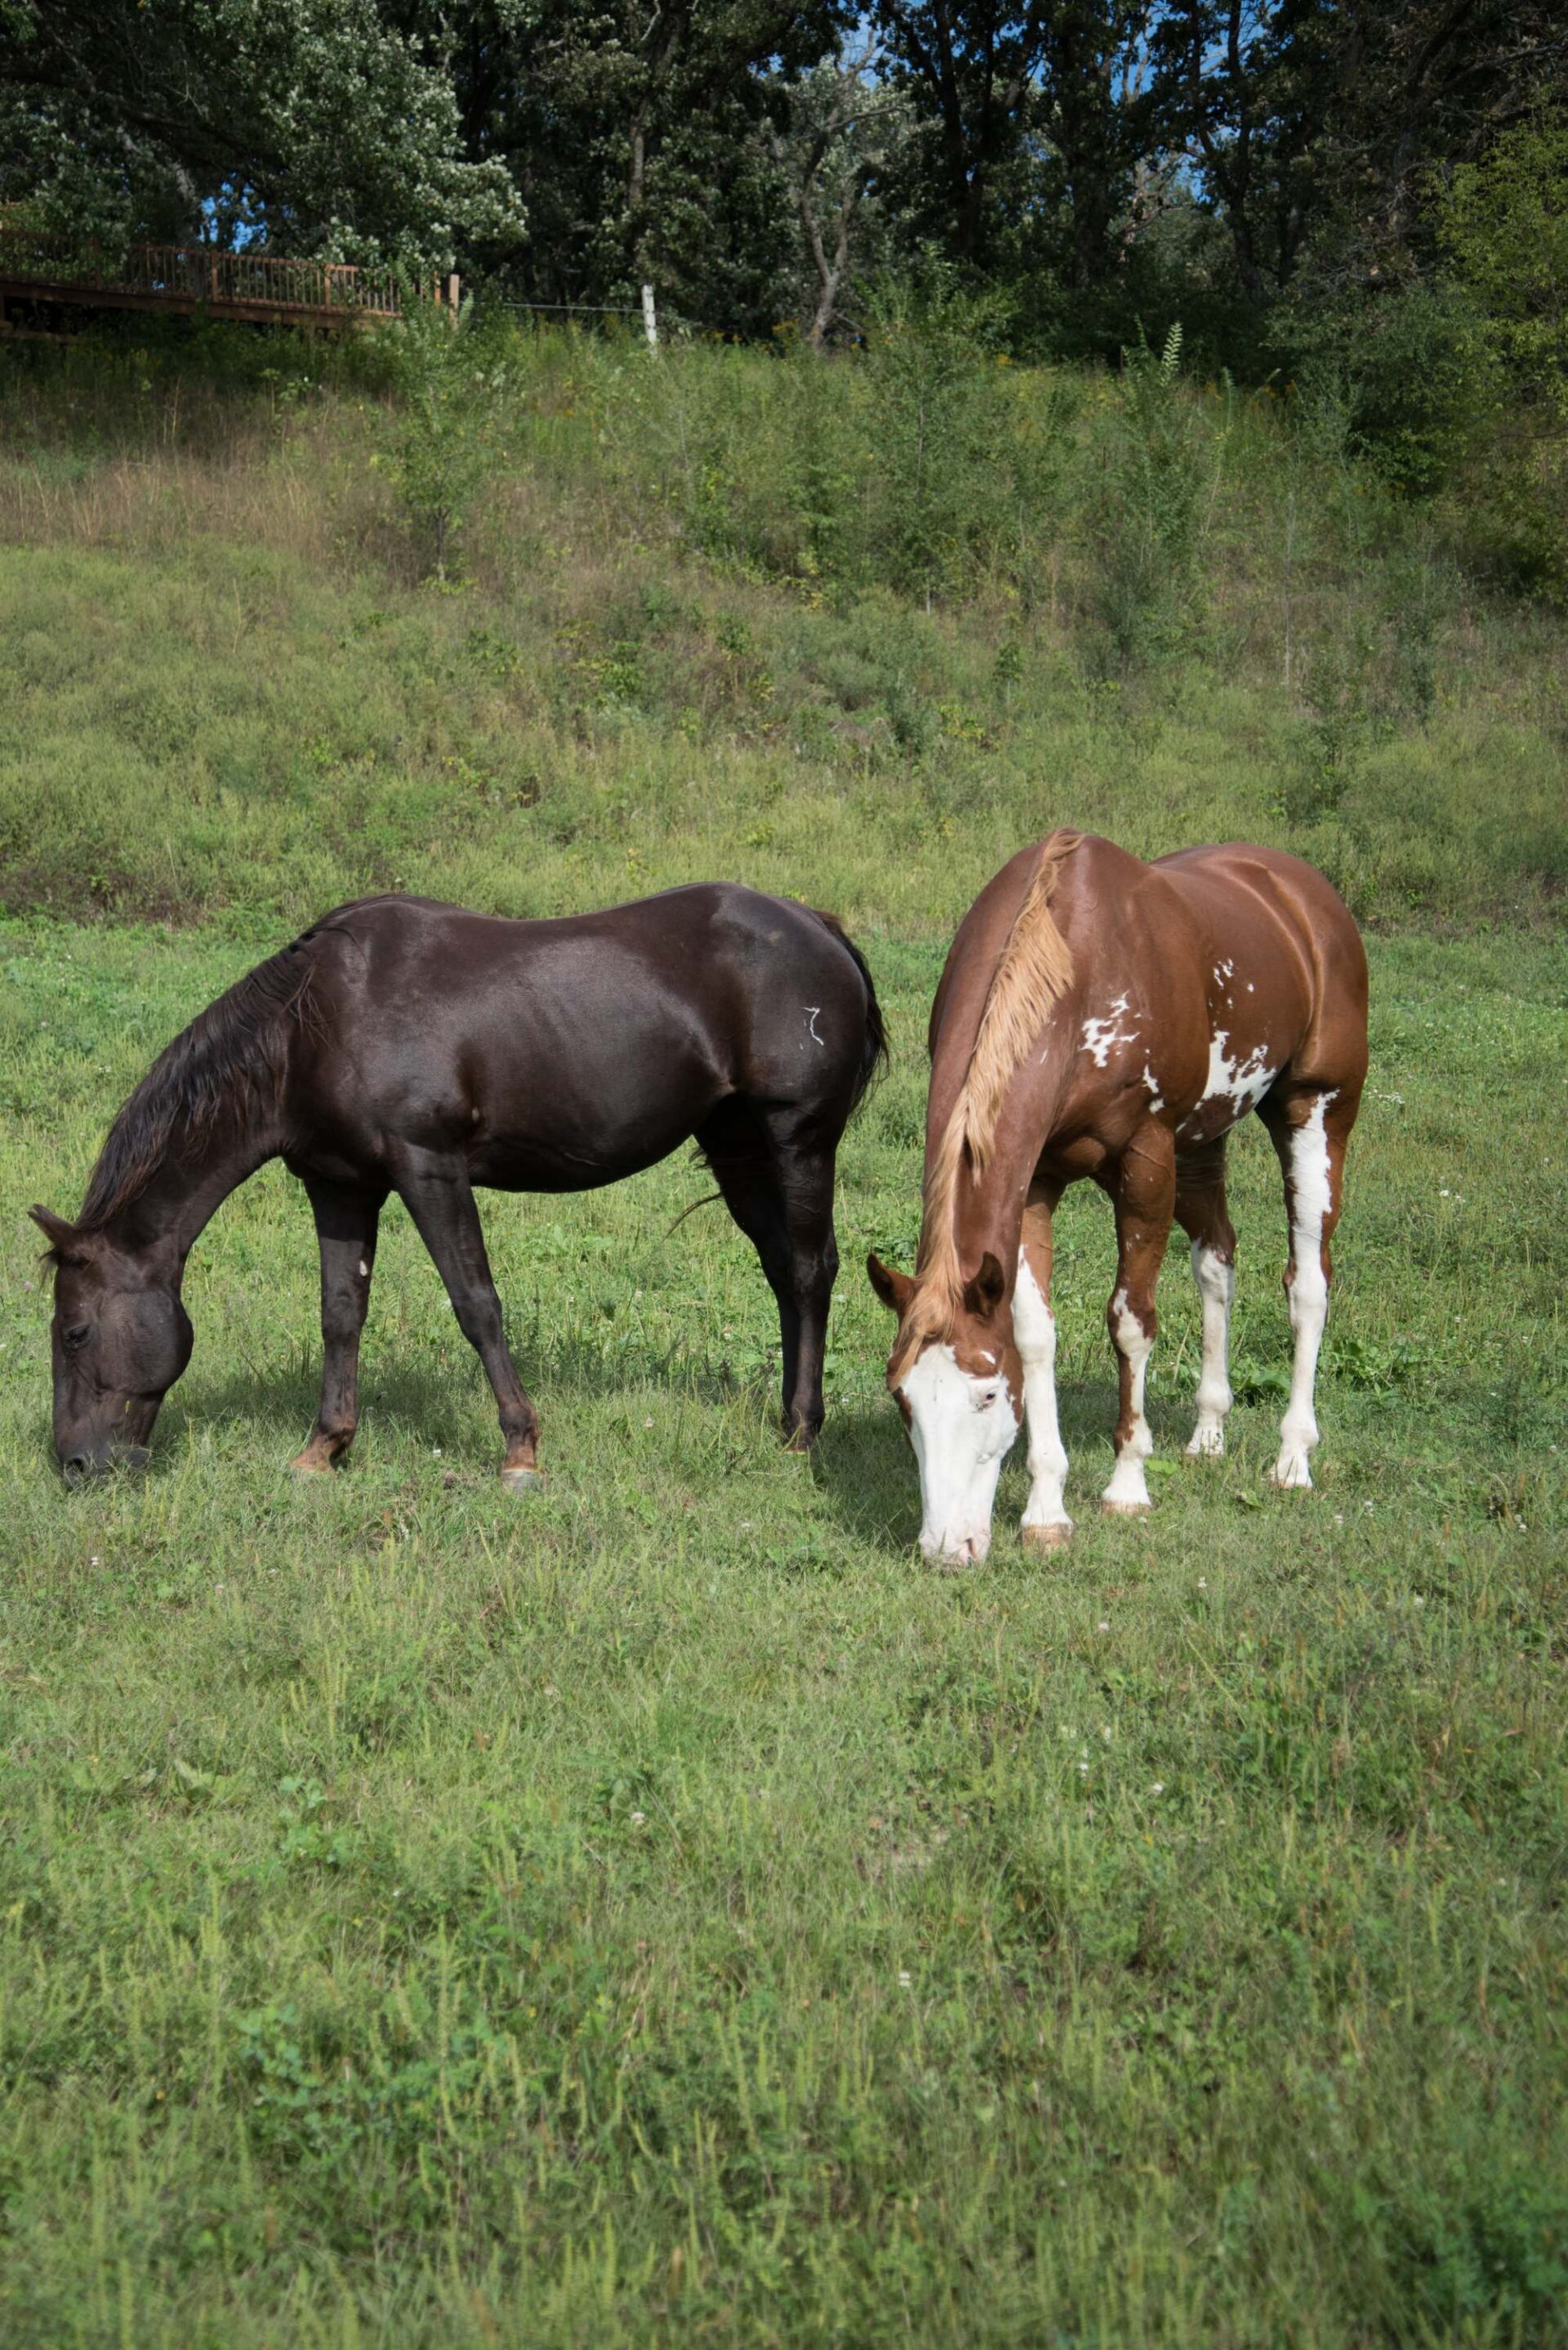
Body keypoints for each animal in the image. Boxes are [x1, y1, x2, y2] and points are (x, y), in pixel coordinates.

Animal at [33, 883, 884, 1485]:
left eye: (73, 1330)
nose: (75, 1465)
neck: (317, 1021)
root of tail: (822, 928)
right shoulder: (339, 1185)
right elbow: (341, 1314)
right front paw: (325, 1446)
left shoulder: (429, 1165)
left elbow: (476, 1303)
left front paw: (520, 1449)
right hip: (738, 1146)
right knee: (781, 1272)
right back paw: (787, 1421)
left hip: (798, 1141)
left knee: (809, 1271)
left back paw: (802, 1432)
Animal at [865, 836, 1363, 1569]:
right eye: (903, 1398)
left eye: (987, 1393)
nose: (946, 1547)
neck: (1077, 968)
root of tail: (1303, 891)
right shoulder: (1034, 1180)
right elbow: (1034, 1335)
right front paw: (1046, 1510)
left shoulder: (1145, 1162)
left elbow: (1131, 1321)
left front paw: (1127, 1484)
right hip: (1203, 1138)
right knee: (1217, 1261)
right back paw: (1209, 1431)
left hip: (1316, 1112)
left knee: (1308, 1284)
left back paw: (1293, 1456)